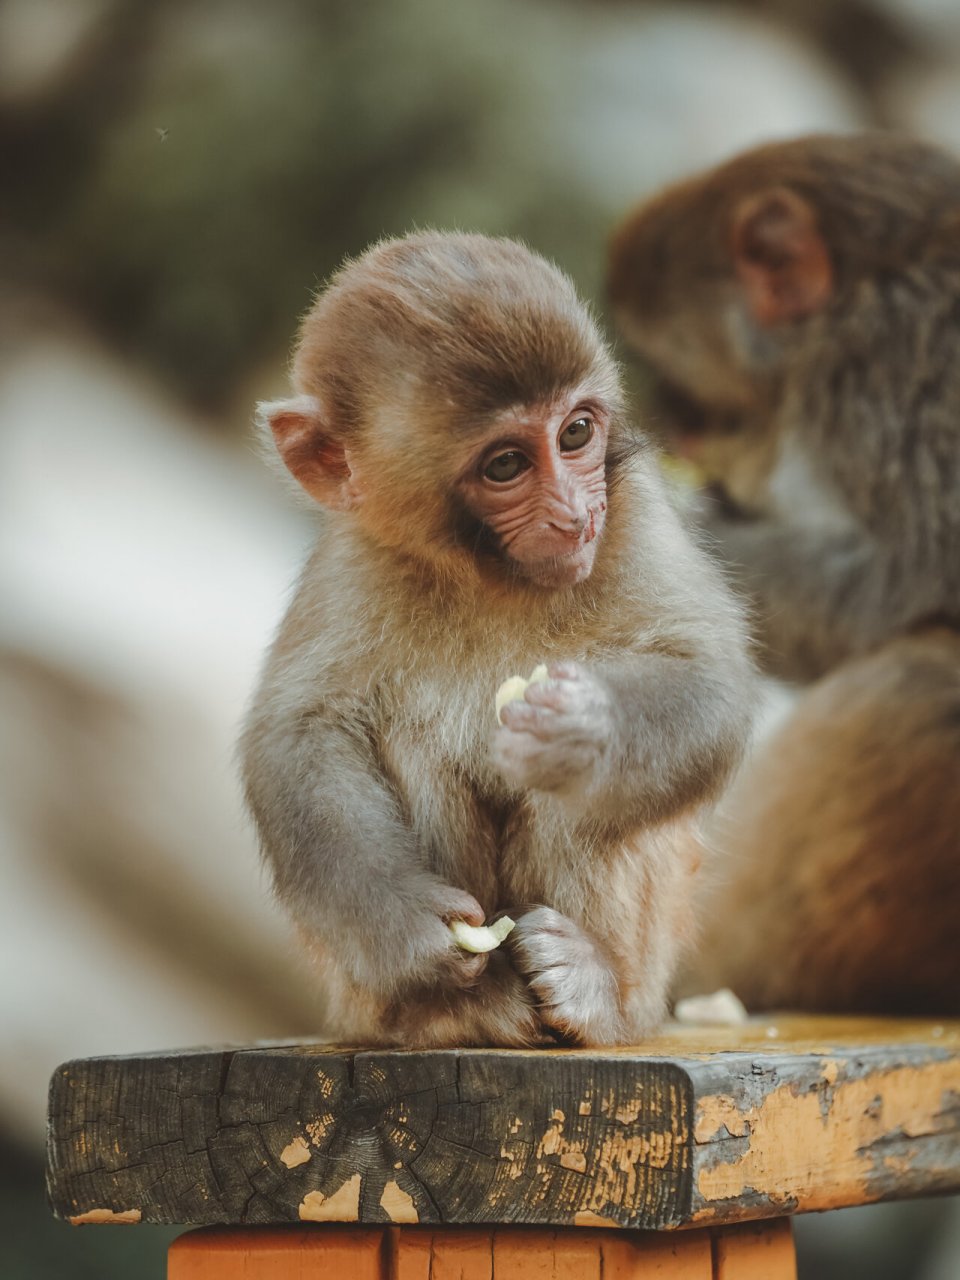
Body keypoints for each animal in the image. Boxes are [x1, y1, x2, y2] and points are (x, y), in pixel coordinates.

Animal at [240, 232, 752, 1049]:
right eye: (506, 463)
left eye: (576, 433)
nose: (574, 517)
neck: (493, 576)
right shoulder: (354, 560)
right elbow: (299, 734)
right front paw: (401, 922)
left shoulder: (634, 511)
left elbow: (711, 681)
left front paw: (583, 736)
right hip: (361, 999)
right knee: (409, 736)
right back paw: (458, 1007)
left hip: (650, 974)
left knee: (588, 802)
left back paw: (590, 986)